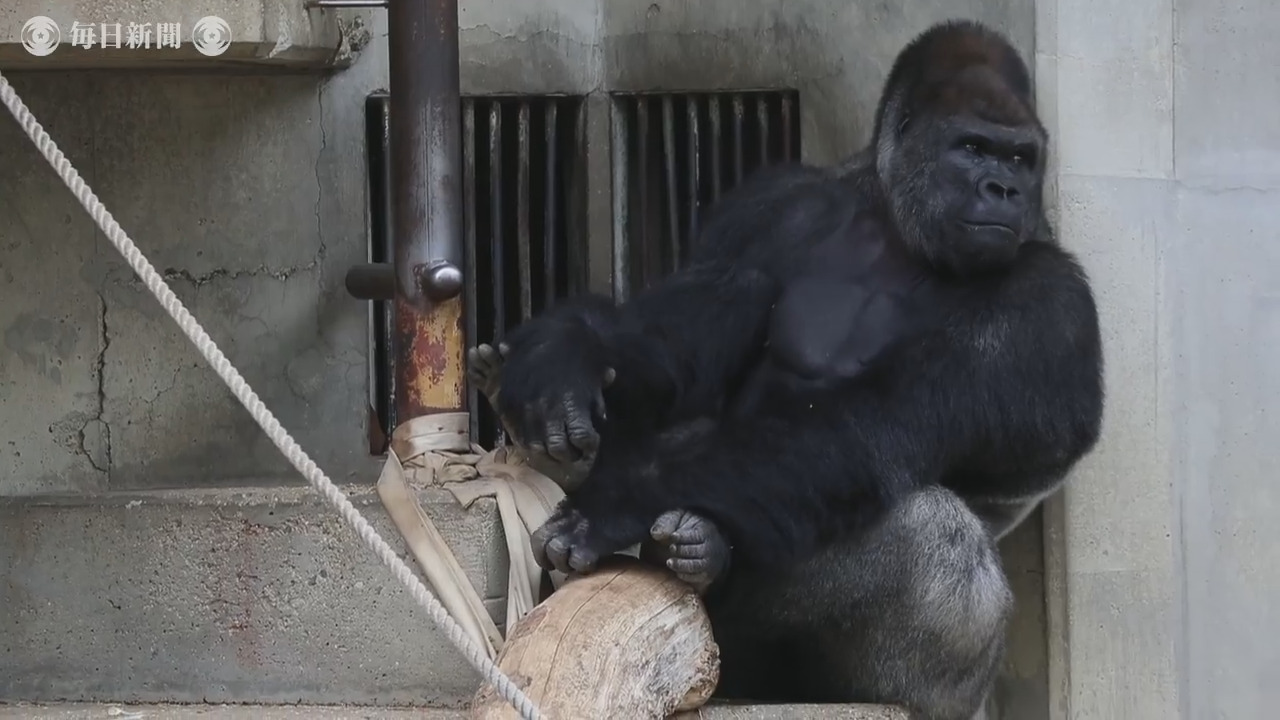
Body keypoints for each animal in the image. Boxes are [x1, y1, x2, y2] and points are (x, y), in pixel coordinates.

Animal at [465, 18, 1105, 717]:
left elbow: (866, 430)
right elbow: (683, 337)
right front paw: (562, 352)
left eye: (1019, 158)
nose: (1005, 190)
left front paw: (617, 501)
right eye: (973, 147)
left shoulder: (1047, 310)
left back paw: (706, 551)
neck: (897, 227)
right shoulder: (771, 208)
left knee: (934, 541)